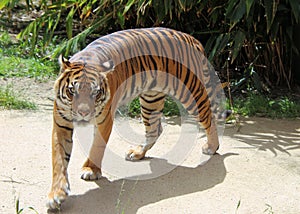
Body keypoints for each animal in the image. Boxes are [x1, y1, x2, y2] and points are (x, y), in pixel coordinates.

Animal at [46, 26, 225, 209]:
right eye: (72, 91)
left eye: (95, 93)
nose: (84, 113)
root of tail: (191, 38)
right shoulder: (61, 124)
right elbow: (58, 159)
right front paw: (57, 194)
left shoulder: (105, 120)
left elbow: (97, 146)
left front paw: (90, 170)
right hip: (151, 100)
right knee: (155, 129)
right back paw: (138, 153)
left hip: (189, 93)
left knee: (209, 116)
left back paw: (212, 147)